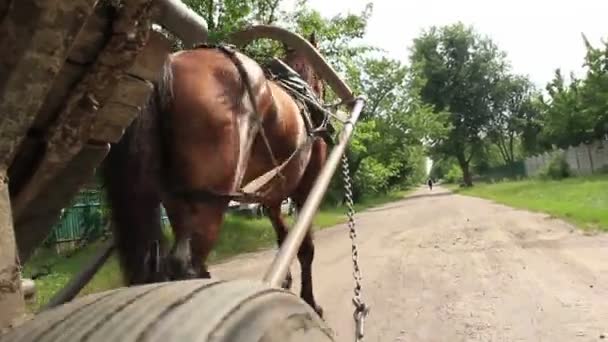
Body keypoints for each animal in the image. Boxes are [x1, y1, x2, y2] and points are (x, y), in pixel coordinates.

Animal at [102, 33, 328, 316]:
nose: (321, 100)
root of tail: (169, 66)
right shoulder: (306, 188)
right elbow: (305, 247)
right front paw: (310, 301)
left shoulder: (272, 196)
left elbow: (284, 238)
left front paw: (286, 282)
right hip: (210, 201)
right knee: (185, 264)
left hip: (178, 201)